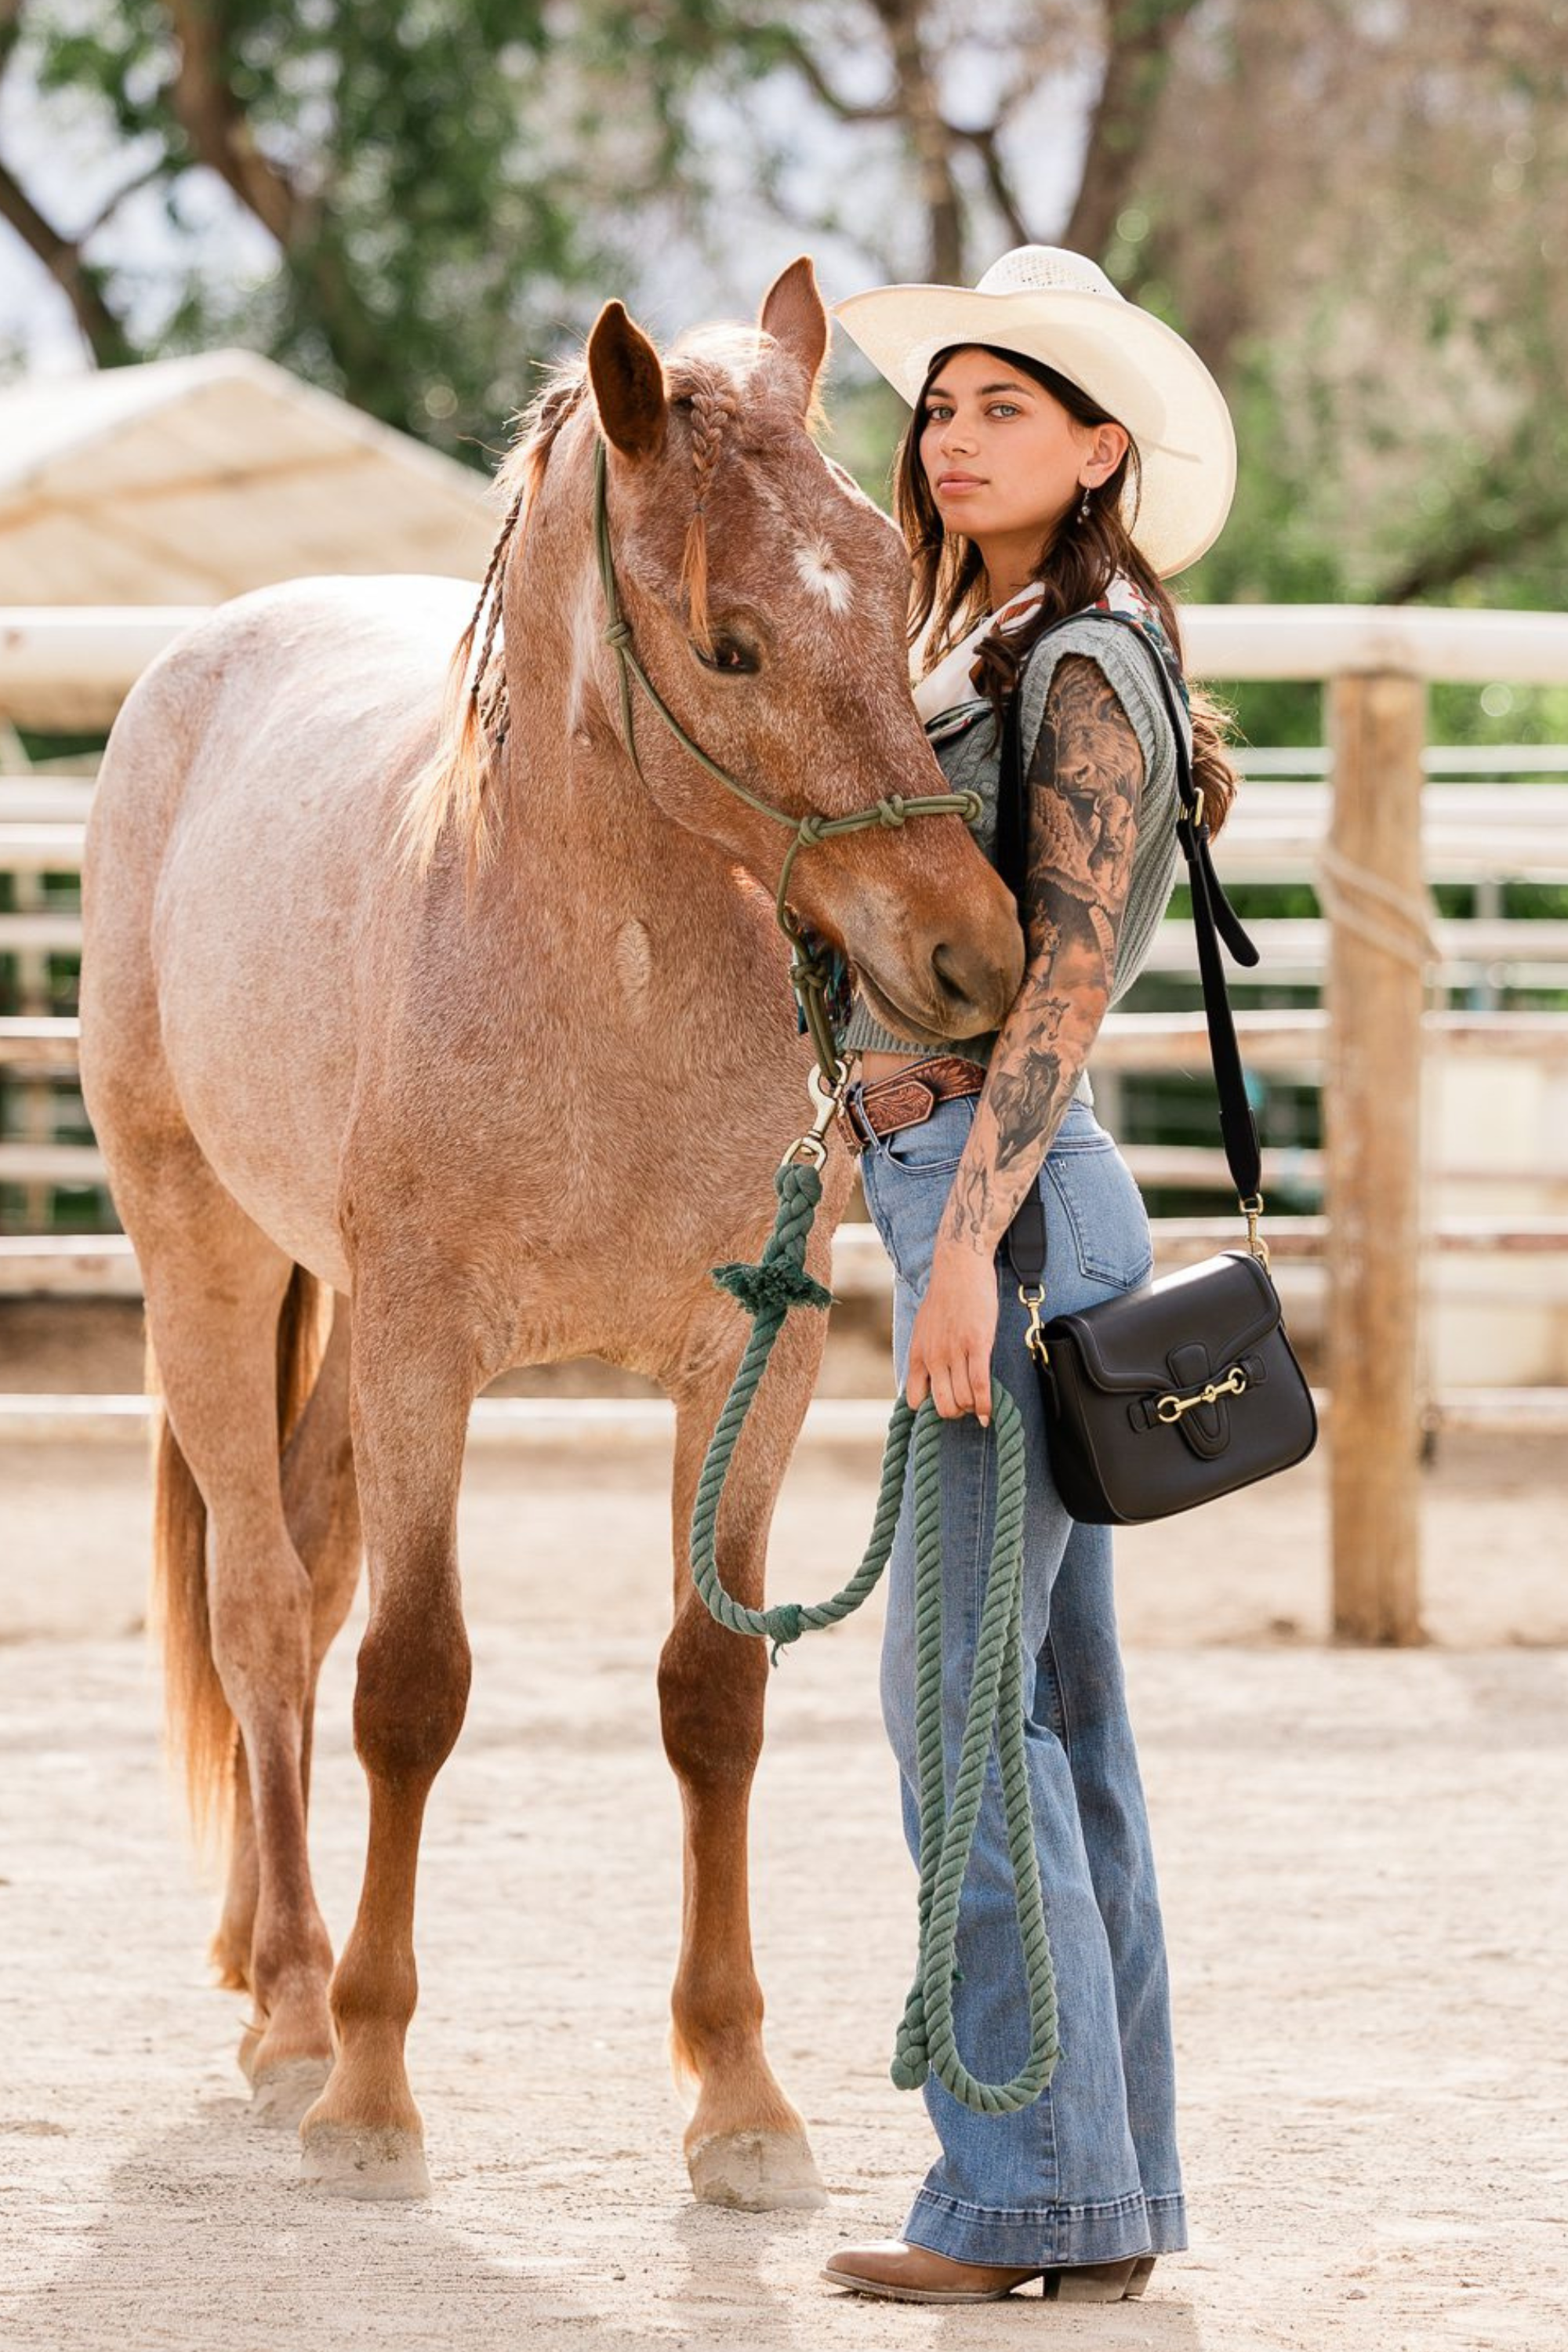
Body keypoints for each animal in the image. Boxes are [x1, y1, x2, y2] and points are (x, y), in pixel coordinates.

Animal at [77, 256, 1025, 2204]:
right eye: (730, 644)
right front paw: (371, 2091)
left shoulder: (751, 1357)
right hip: (203, 1254)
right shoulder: (428, 1347)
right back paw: (293, 2008)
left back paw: (257, 1957)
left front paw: (739, 2099)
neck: (593, 971)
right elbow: (412, 1685)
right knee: (263, 1608)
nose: (973, 957)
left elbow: (711, 1695)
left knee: (304, 1564)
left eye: (895, 580)